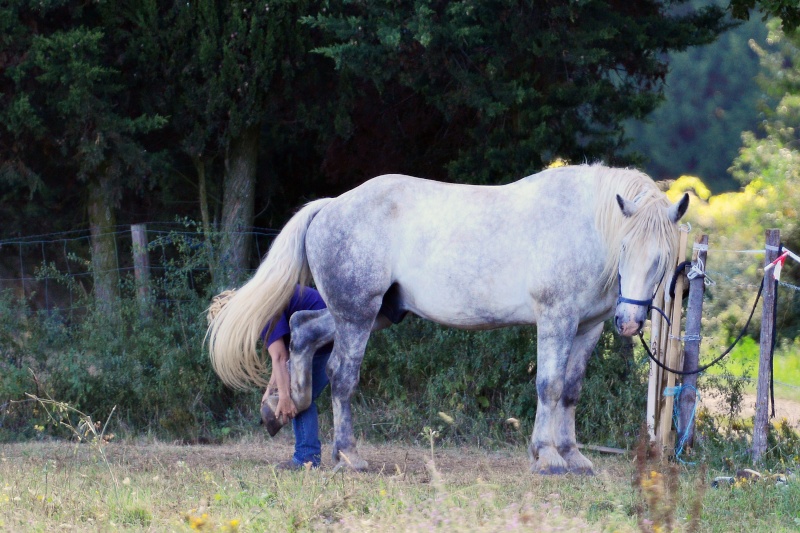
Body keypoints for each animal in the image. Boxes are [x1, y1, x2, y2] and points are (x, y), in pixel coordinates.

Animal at [208, 163, 688, 474]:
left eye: (662, 259)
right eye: (624, 248)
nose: (630, 323)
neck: (585, 224)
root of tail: (329, 207)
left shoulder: (587, 328)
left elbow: (570, 390)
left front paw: (573, 456)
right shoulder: (556, 319)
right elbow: (549, 386)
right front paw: (546, 456)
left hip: (374, 314)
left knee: (302, 328)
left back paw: (283, 408)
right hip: (357, 315)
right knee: (342, 375)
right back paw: (348, 455)